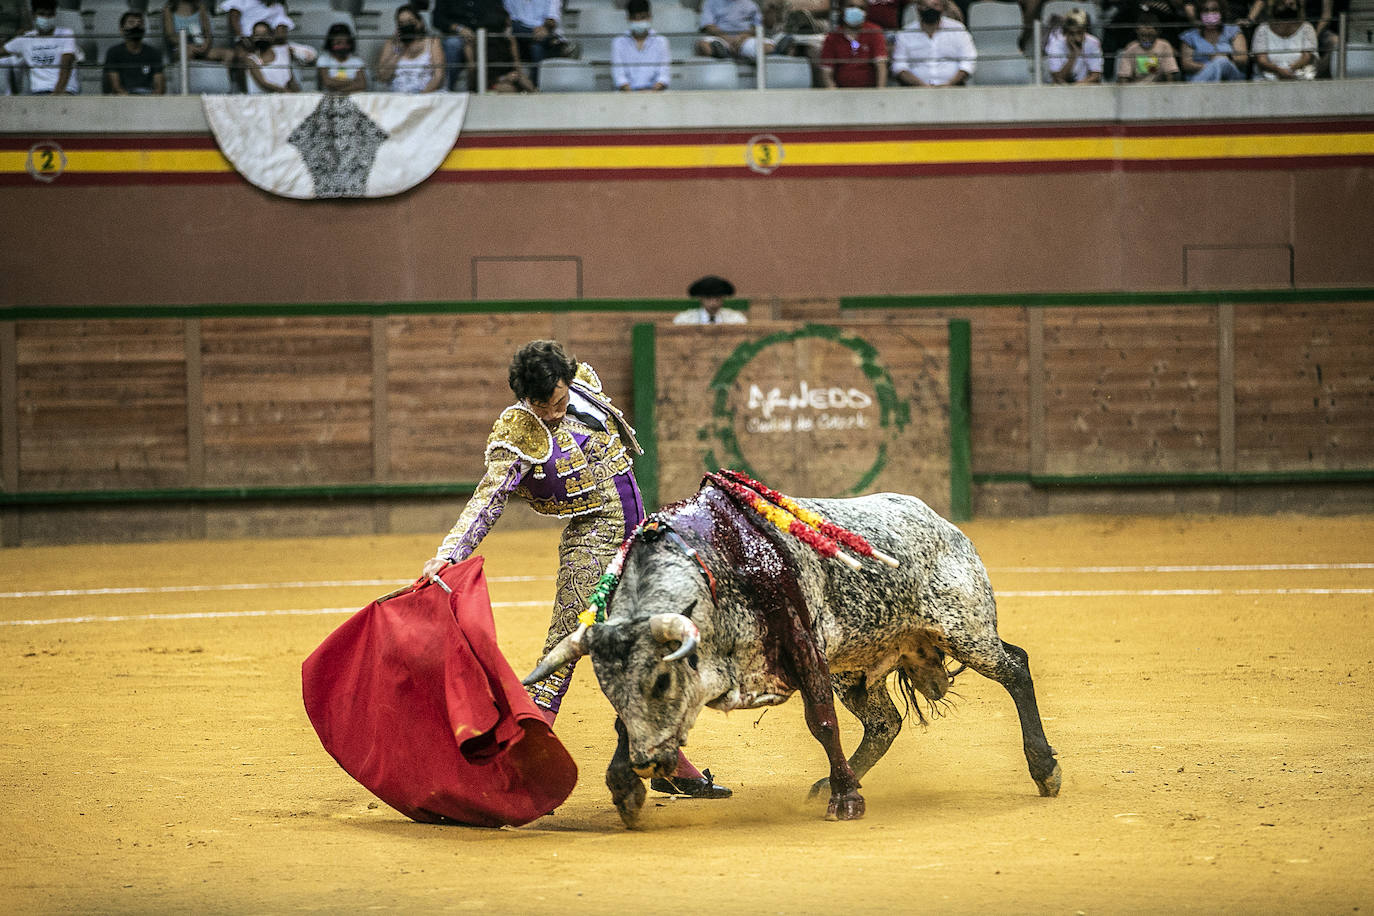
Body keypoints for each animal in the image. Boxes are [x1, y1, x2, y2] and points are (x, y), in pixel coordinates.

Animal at [524, 477, 1060, 829]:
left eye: (661, 681)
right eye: (609, 690)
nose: (648, 761)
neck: (716, 565)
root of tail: (945, 525)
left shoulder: (804, 645)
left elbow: (821, 721)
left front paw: (846, 803)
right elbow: (624, 726)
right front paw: (624, 788)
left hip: (965, 631)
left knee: (1016, 667)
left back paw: (1045, 770)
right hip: (857, 670)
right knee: (885, 723)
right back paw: (831, 782)